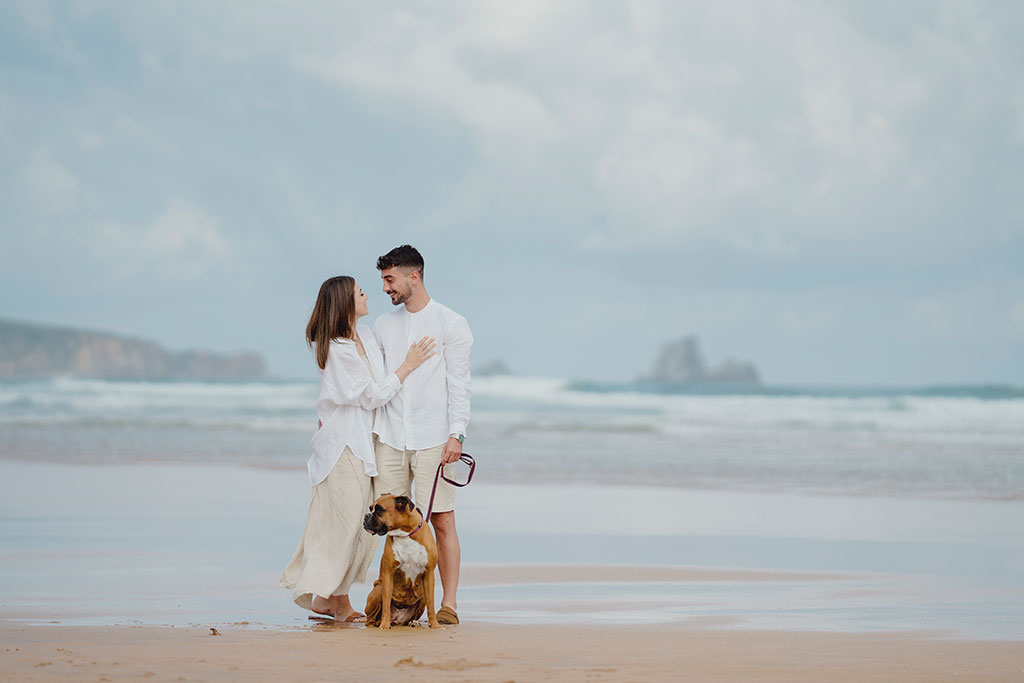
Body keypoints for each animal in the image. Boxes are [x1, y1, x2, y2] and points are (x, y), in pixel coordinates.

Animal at [362, 493, 442, 626]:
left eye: (379, 510)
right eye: (370, 508)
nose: (366, 516)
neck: (406, 534)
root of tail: (397, 619)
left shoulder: (429, 573)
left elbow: (431, 604)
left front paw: (435, 626)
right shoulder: (388, 573)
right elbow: (386, 603)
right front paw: (384, 626)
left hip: (422, 598)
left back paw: (413, 622)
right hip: (379, 588)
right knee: (370, 619)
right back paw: (378, 623)